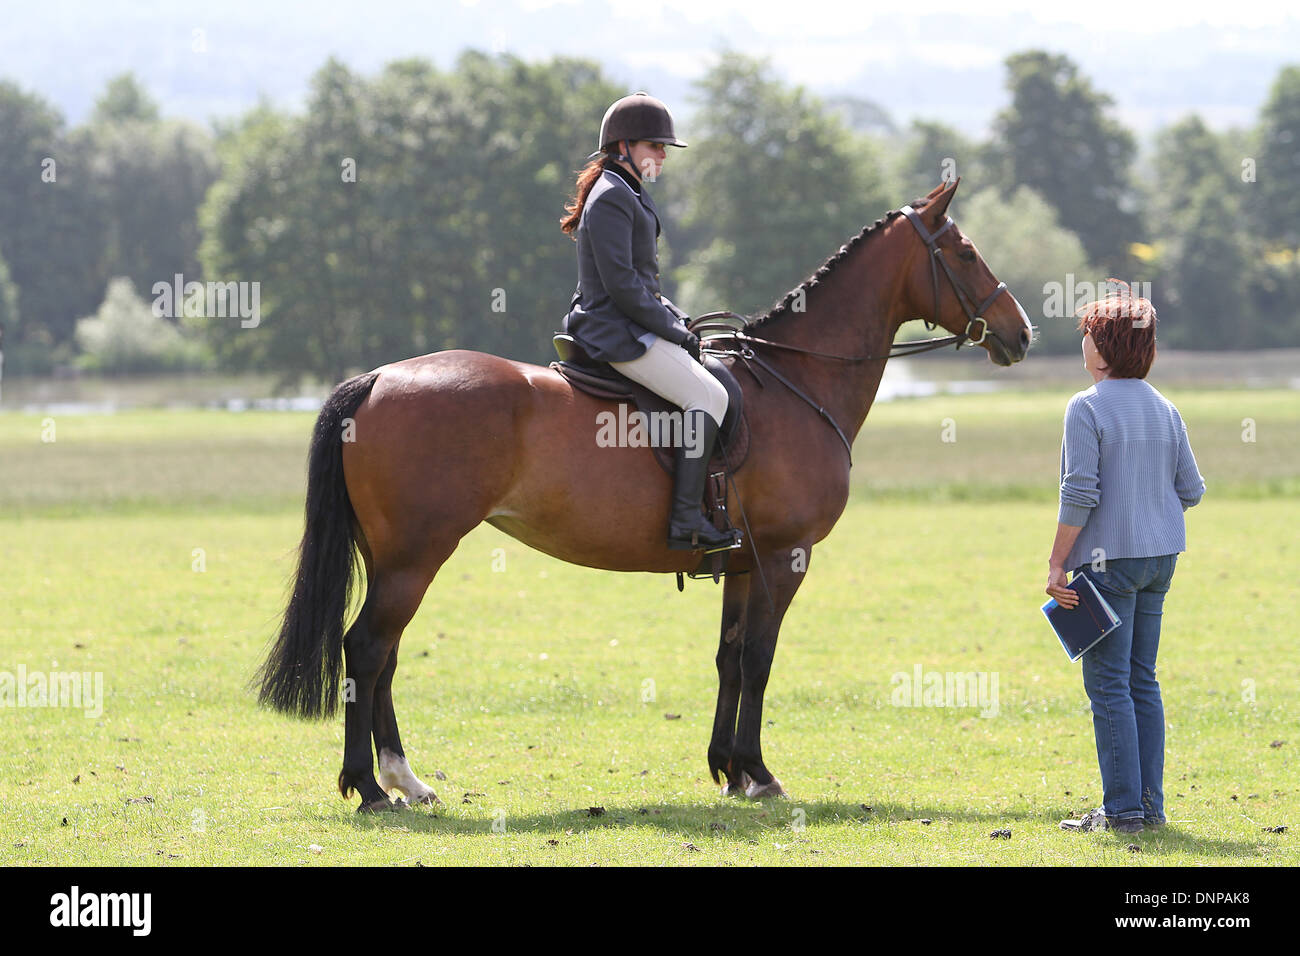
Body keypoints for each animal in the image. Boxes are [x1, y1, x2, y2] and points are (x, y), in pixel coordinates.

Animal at [258, 178, 1034, 806]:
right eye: (965, 252)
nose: (1020, 333)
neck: (797, 382)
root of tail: (379, 378)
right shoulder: (786, 556)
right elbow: (759, 661)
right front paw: (761, 774)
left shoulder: (744, 562)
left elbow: (729, 658)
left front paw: (730, 771)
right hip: (416, 555)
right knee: (367, 649)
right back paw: (370, 787)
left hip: (398, 557)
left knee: (383, 655)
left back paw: (405, 781)